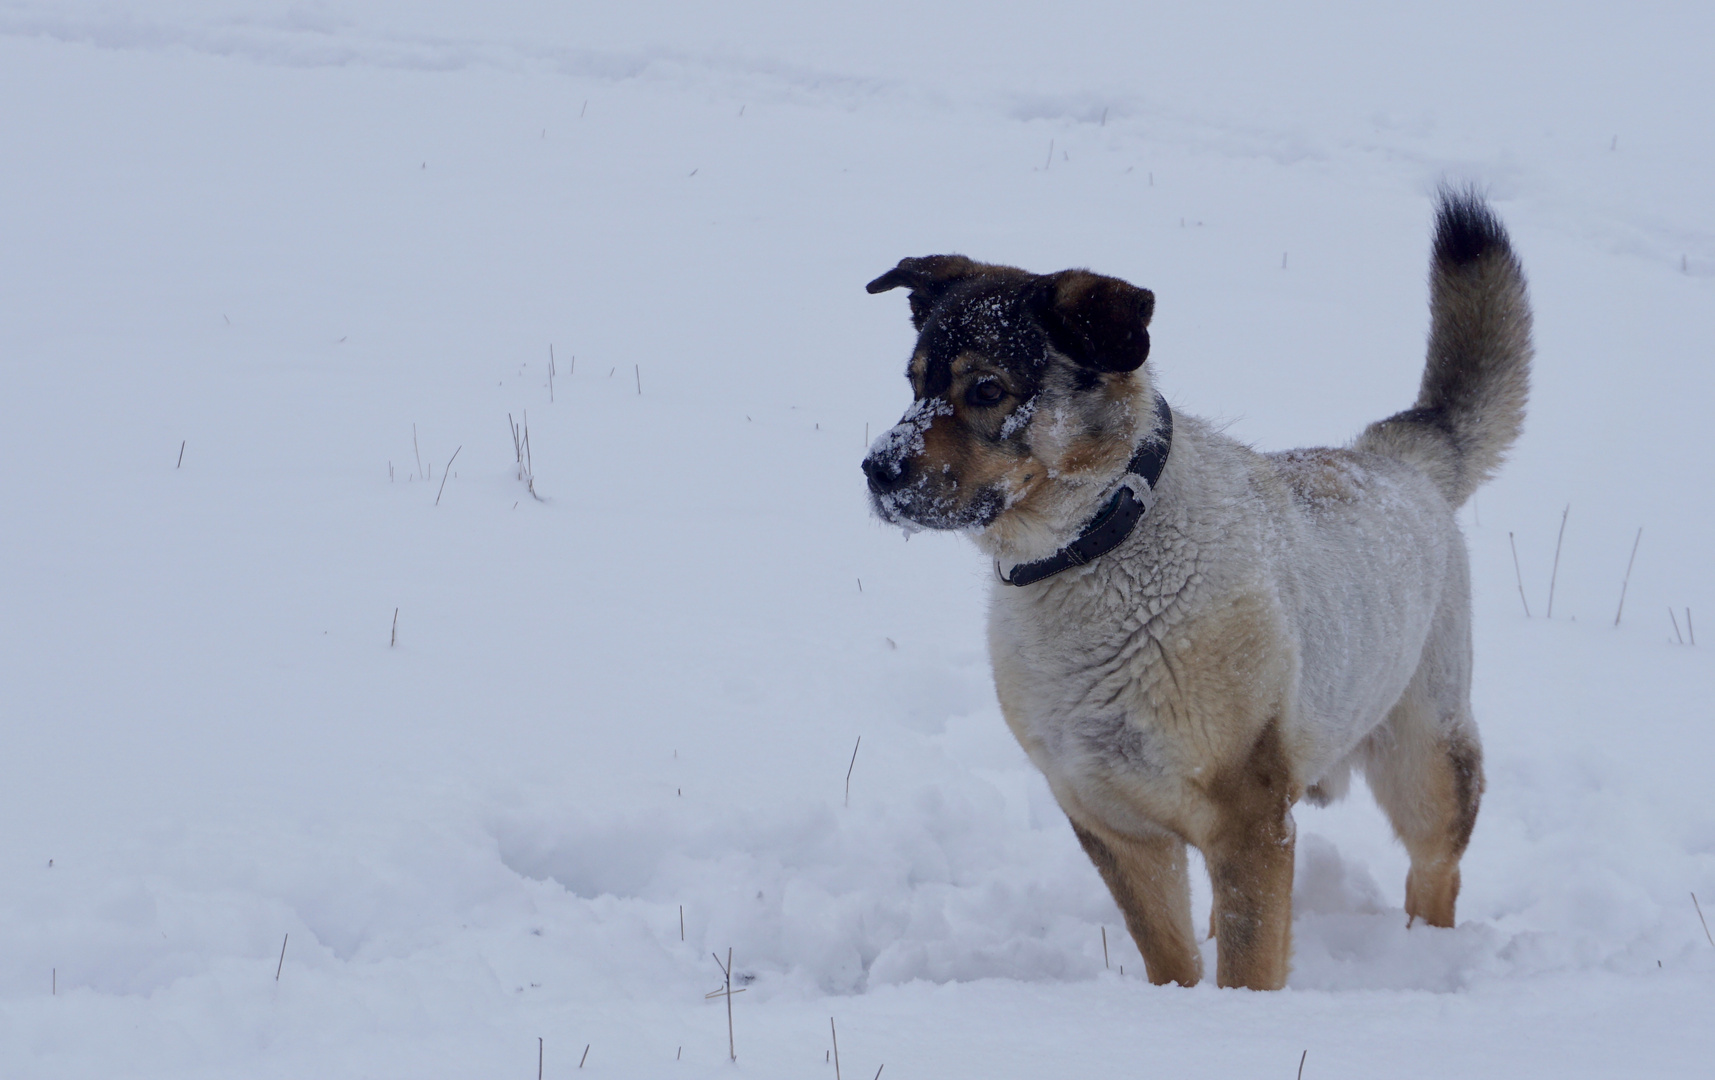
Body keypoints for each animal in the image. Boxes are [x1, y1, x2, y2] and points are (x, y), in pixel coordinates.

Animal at [864, 192, 1536, 987]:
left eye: (988, 389)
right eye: (914, 384)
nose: (877, 470)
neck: (1097, 548)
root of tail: (1403, 455)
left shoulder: (1247, 817)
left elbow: (1248, 963)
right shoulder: (1111, 819)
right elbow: (1172, 957)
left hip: (1425, 756)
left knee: (1435, 872)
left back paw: (1423, 956)